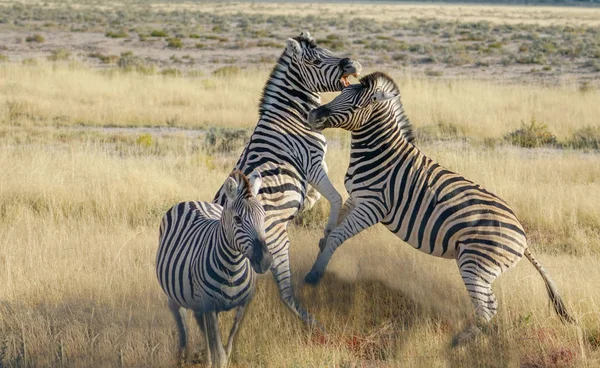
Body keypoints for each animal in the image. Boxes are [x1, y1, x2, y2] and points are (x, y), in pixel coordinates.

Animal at [158, 170, 274, 368]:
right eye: (238, 219)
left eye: (264, 216)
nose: (265, 261)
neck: (233, 267)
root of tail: (192, 201)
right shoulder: (210, 305)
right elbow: (219, 351)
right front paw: (214, 360)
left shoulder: (244, 304)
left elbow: (228, 346)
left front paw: (220, 357)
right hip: (176, 296)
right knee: (182, 322)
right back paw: (183, 356)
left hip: (199, 302)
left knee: (201, 325)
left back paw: (206, 359)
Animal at [214, 30, 360, 326]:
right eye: (316, 60)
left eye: (328, 49)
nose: (351, 62)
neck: (289, 115)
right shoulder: (312, 161)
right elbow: (336, 197)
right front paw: (327, 231)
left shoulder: (316, 165)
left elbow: (320, 194)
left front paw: (307, 202)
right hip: (276, 243)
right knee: (285, 292)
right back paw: (313, 323)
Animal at [304, 72, 576, 344]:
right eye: (340, 93)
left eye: (357, 105)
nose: (312, 115)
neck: (381, 155)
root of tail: (523, 238)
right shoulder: (357, 198)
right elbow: (331, 229)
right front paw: (320, 251)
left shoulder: (373, 206)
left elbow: (338, 236)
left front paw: (314, 275)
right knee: (487, 307)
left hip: (474, 264)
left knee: (488, 307)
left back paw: (459, 342)